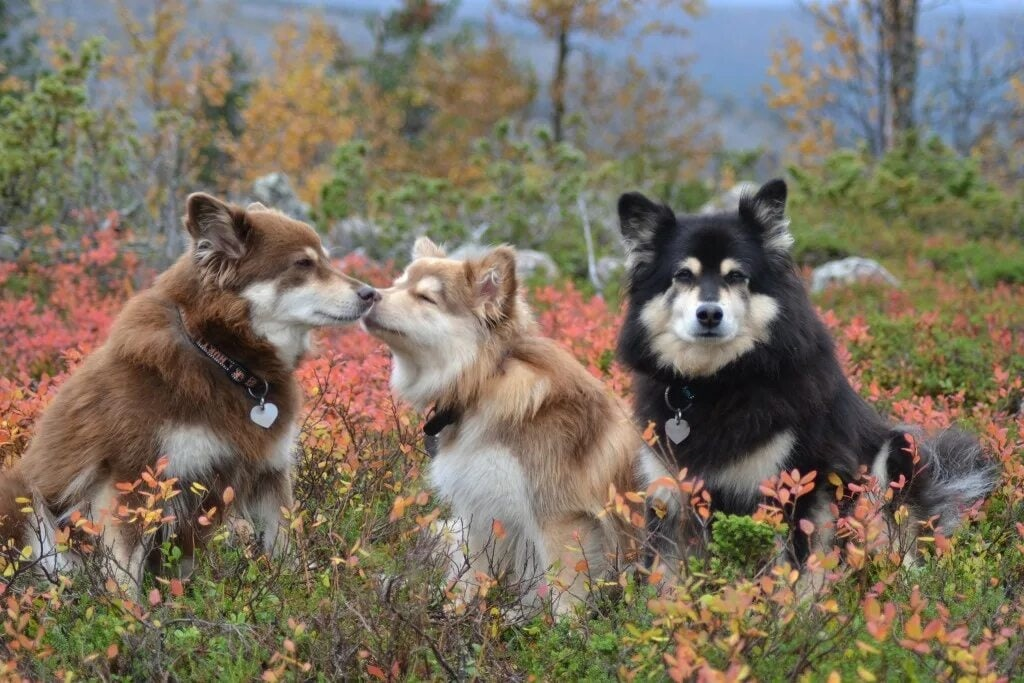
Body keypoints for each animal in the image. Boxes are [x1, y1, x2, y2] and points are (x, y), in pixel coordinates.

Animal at [362, 237, 679, 618]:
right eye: (396, 283)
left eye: (425, 297)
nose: (367, 294)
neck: (483, 381)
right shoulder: (480, 507)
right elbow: (472, 571)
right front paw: (455, 610)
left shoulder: (559, 517)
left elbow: (564, 592)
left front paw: (559, 630)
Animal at [610, 179, 995, 565]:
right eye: (683, 275)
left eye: (736, 276)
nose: (709, 314)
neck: (717, 383)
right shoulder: (668, 492)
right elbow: (664, 574)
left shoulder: (795, 486)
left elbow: (793, 568)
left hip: (896, 453)